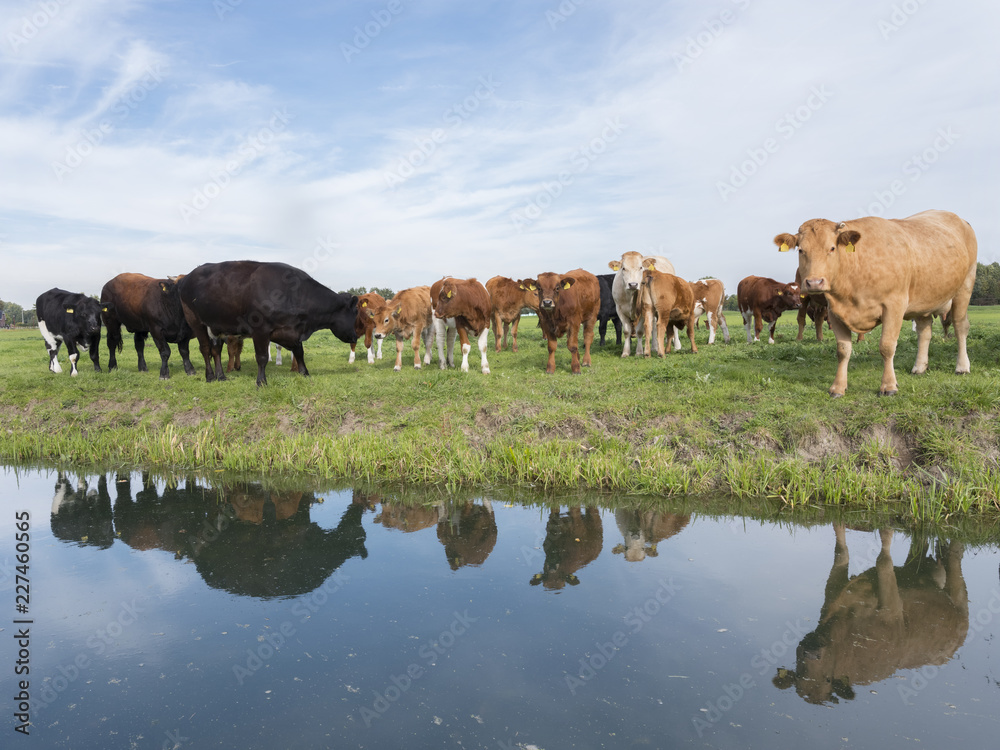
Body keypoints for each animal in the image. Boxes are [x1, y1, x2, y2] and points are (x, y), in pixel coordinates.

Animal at [178, 260, 358, 388]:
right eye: (355, 312)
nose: (355, 337)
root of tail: (187, 277)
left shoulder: (292, 331)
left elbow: (299, 352)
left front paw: (305, 373)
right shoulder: (260, 330)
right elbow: (262, 357)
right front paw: (261, 382)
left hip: (216, 326)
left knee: (216, 351)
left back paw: (221, 376)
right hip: (195, 321)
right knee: (205, 349)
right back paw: (209, 377)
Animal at [772, 210, 976, 400]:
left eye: (832, 248)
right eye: (801, 250)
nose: (814, 282)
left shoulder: (894, 305)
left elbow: (887, 346)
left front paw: (889, 386)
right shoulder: (835, 312)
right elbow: (843, 350)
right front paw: (838, 387)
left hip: (964, 287)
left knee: (960, 326)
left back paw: (962, 367)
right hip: (925, 299)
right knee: (924, 332)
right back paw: (919, 367)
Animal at [776, 524, 964, 708]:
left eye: (828, 679)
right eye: (799, 674)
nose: (811, 653)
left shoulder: (892, 610)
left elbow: (883, 560)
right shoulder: (832, 597)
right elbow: (841, 552)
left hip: (960, 602)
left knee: (955, 556)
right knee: (919, 548)